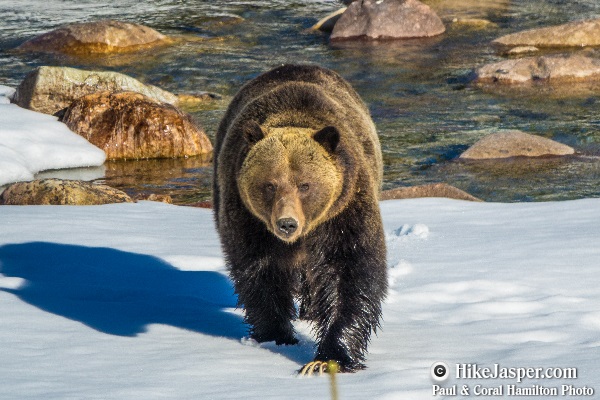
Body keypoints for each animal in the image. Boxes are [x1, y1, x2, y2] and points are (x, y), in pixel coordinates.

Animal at [213, 64, 386, 374]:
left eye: (305, 185)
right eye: (270, 184)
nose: (287, 223)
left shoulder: (344, 210)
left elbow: (350, 272)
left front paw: (329, 357)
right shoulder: (248, 218)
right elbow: (259, 273)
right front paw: (276, 335)